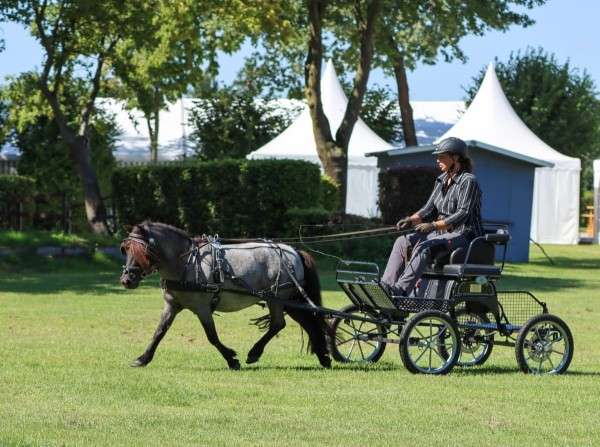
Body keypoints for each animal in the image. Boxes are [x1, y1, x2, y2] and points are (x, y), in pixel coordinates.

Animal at [118, 221, 332, 372]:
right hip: (290, 300)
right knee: (308, 322)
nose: (126, 280)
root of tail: (294, 251)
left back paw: (255, 353)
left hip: (278, 298)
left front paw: (231, 359)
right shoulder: (171, 304)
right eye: (125, 248)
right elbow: (159, 332)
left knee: (279, 324)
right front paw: (143, 358)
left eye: (142, 250)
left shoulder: (202, 308)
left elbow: (211, 335)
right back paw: (324, 356)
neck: (187, 263)